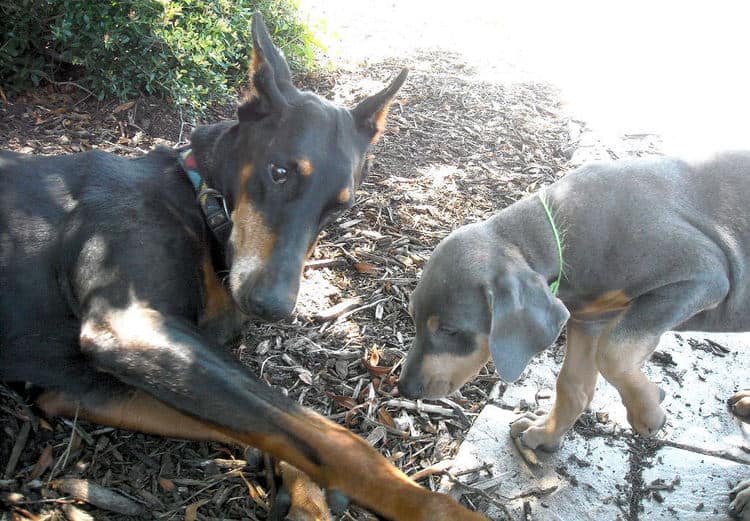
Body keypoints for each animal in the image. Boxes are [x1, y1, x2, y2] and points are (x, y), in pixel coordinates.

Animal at [0, 14, 488, 520]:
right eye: (279, 171)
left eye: (341, 206)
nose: (272, 306)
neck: (198, 200)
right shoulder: (127, 325)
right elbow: (333, 438)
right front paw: (430, 506)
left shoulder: (74, 388)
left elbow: (277, 429)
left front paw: (303, 492)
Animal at [400, 152, 750, 516]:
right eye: (412, 317)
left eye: (449, 329)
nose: (404, 388)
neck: (563, 229)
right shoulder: (588, 319)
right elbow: (572, 385)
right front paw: (545, 433)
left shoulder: (703, 277)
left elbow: (613, 352)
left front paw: (648, 409)